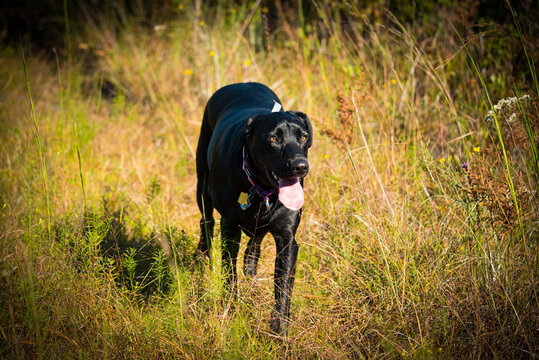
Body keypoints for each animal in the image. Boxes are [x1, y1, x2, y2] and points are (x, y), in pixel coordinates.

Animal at [195, 81, 312, 334]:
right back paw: (203, 256)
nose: (301, 166)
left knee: (255, 243)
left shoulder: (287, 239)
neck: (261, 190)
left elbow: (283, 288)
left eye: (303, 137)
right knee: (206, 221)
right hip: (203, 185)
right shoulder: (230, 228)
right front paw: (230, 310)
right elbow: (229, 273)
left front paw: (279, 330)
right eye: (273, 138)